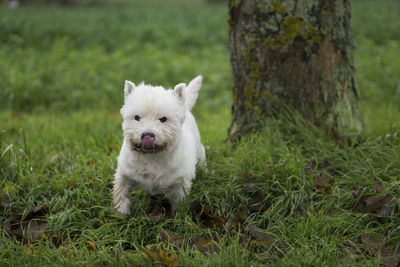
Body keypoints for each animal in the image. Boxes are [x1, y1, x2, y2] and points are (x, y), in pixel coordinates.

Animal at [113, 75, 205, 216]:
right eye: (137, 117)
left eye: (163, 119)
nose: (147, 135)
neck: (153, 157)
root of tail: (186, 108)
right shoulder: (125, 173)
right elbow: (120, 192)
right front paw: (121, 213)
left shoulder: (180, 182)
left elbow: (179, 201)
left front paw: (176, 216)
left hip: (198, 149)